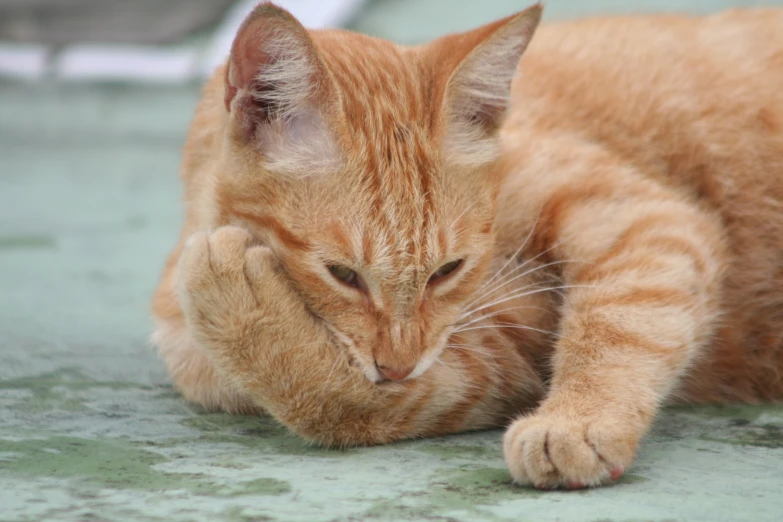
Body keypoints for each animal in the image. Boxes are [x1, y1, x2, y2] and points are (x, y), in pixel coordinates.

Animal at [152, 2, 783, 486]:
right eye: (344, 274)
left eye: (447, 270)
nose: (398, 365)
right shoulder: (495, 360)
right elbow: (349, 397)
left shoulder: (647, 222)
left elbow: (620, 324)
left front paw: (578, 422)